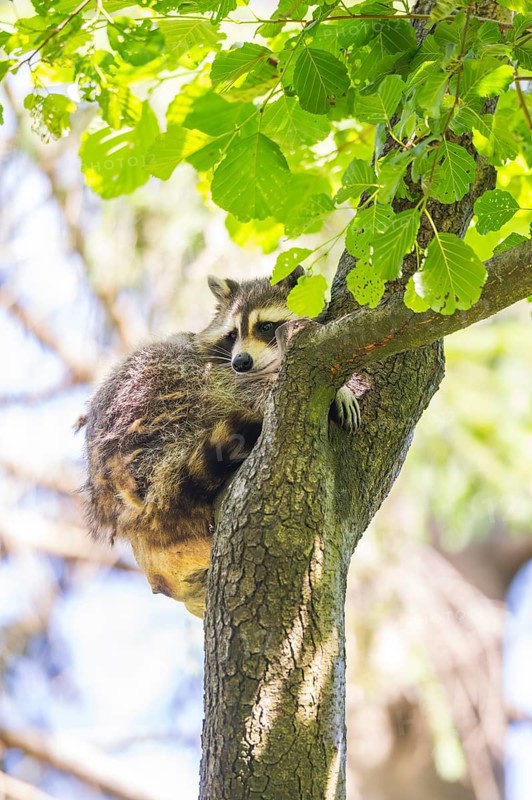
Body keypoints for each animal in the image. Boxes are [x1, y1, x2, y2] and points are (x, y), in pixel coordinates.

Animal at [80, 268, 361, 617]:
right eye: (231, 334)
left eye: (265, 326)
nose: (241, 361)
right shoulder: (218, 372)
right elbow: (245, 388)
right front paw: (341, 390)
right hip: (153, 397)